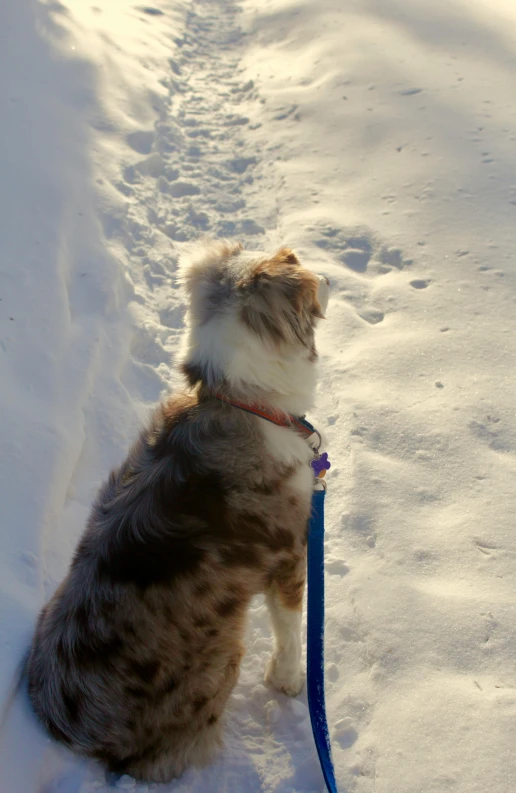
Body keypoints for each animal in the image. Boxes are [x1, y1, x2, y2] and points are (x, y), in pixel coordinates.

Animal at [27, 240, 330, 780]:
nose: (331, 277)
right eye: (295, 261)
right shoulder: (290, 552)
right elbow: (291, 629)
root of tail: (71, 733)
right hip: (221, 657)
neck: (241, 399)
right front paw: (289, 680)